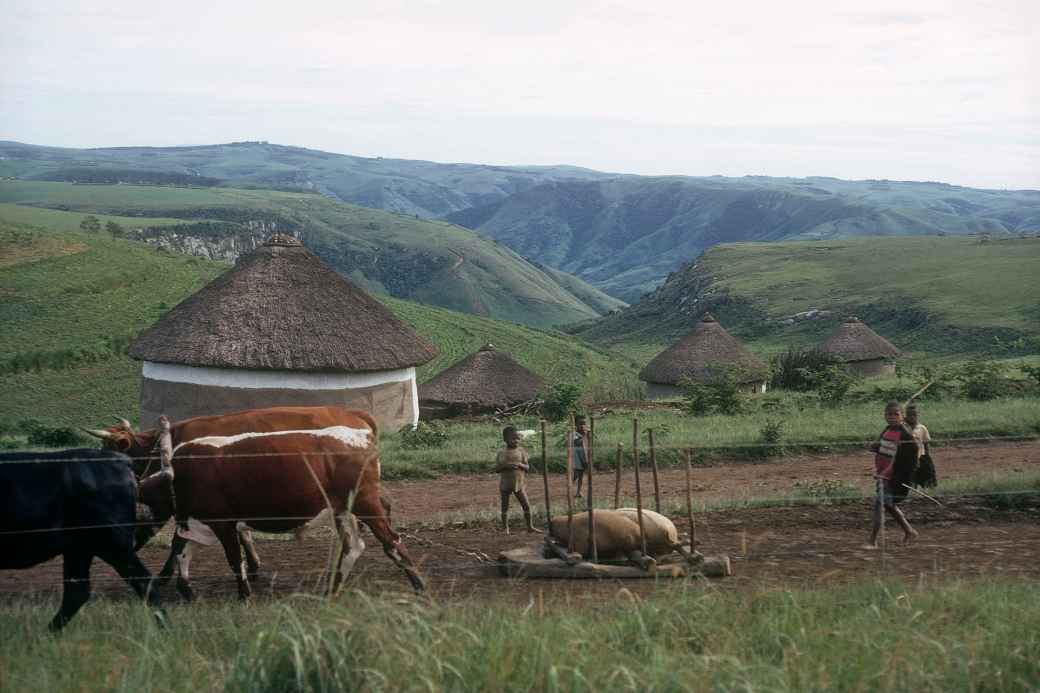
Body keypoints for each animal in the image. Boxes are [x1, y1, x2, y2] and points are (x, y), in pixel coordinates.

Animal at [88, 407, 424, 599]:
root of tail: (358, 428)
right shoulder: (194, 521)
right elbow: (183, 550)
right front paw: (184, 588)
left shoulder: (221, 521)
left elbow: (231, 556)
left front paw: (244, 590)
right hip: (344, 510)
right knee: (354, 546)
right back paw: (332, 588)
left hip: (364, 503)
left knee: (391, 540)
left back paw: (419, 585)